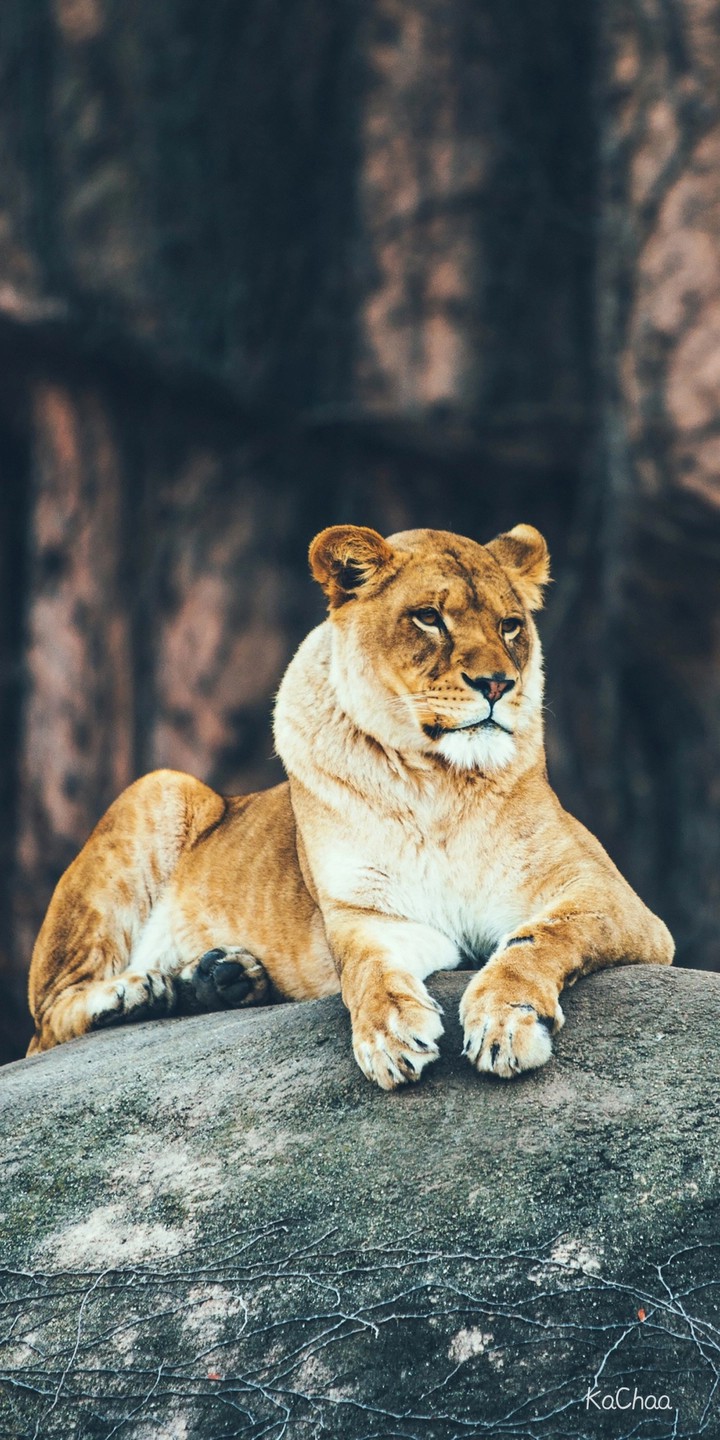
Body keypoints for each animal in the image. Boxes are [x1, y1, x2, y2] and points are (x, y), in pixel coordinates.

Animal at [27, 523, 674, 1085]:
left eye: (511, 625)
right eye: (429, 617)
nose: (497, 684)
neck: (439, 784)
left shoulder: (612, 899)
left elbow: (540, 939)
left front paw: (504, 1020)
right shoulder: (366, 912)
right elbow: (367, 970)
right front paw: (389, 1036)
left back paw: (217, 979)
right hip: (159, 786)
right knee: (48, 1022)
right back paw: (139, 990)